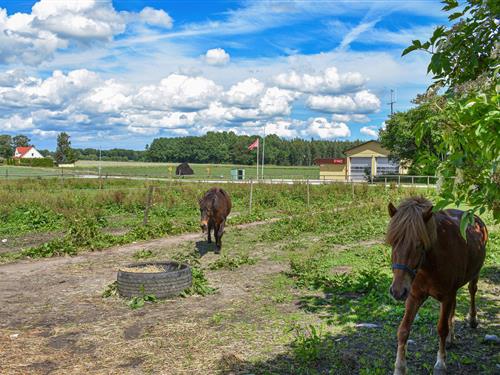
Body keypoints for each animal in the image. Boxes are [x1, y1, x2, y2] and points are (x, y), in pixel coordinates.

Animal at [386, 198, 488, 374]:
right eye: (393, 242)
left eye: (419, 244)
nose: (397, 291)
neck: (429, 266)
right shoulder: (414, 296)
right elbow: (403, 330)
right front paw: (399, 367)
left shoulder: (446, 297)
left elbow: (441, 328)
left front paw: (440, 364)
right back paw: (451, 339)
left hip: (475, 273)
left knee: (472, 291)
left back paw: (473, 319)